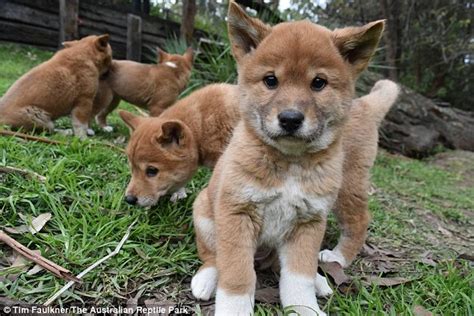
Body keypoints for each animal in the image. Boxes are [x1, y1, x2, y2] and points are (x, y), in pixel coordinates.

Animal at [191, 1, 398, 314]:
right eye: (271, 80)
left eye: (318, 83)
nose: (290, 119)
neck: (289, 165)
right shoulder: (236, 214)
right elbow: (237, 275)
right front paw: (234, 307)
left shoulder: (308, 223)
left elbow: (298, 278)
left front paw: (305, 307)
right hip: (204, 212)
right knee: (213, 257)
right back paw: (206, 279)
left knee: (355, 224)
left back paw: (329, 268)